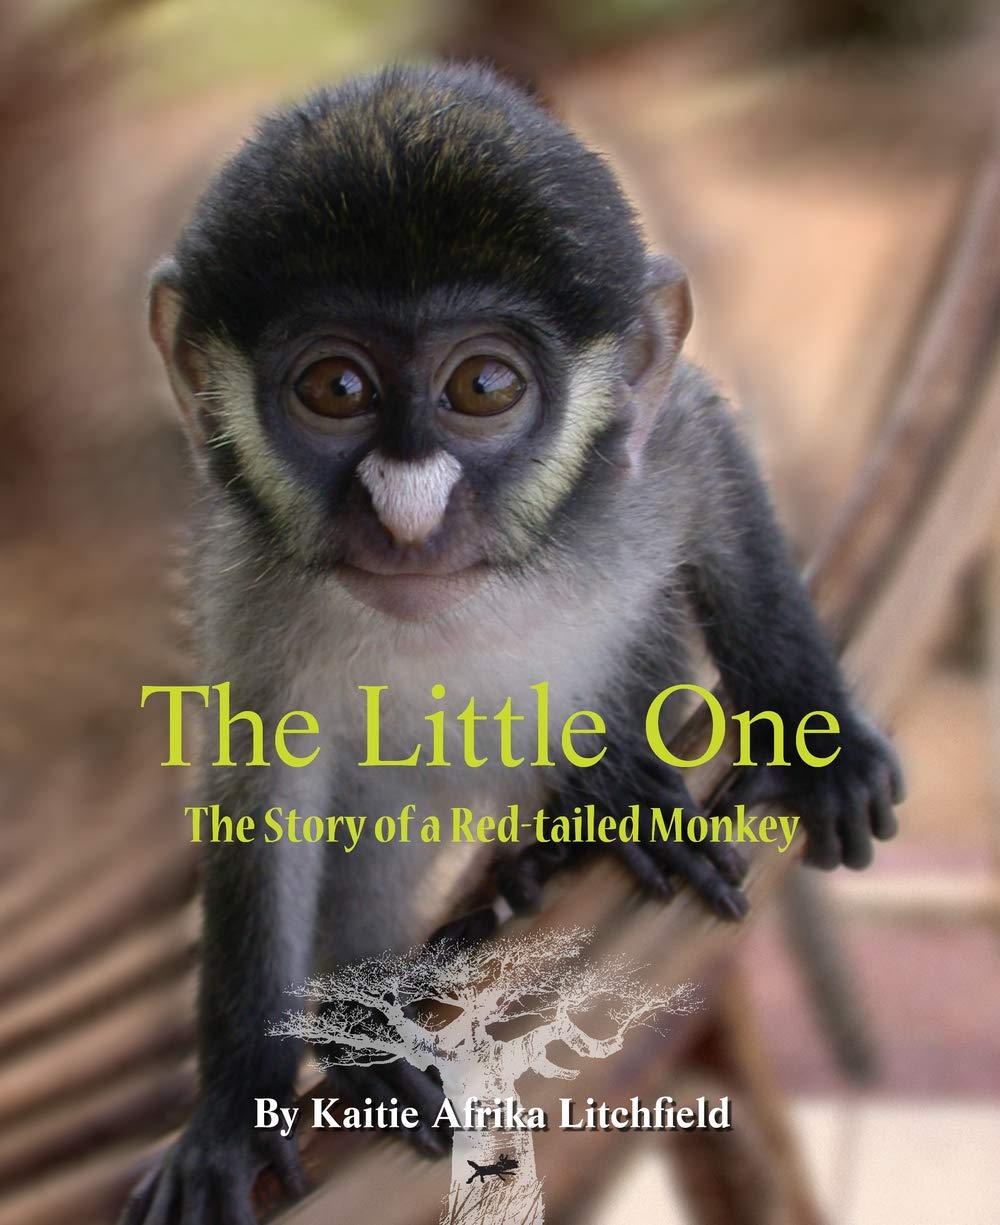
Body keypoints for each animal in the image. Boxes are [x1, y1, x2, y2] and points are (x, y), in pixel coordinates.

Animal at [122, 63, 902, 1224]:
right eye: (335, 388)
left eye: (482, 387)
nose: (406, 514)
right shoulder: (246, 583)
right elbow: (266, 792)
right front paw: (234, 1105)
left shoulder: (641, 457)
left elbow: (709, 455)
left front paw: (822, 735)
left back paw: (566, 829)